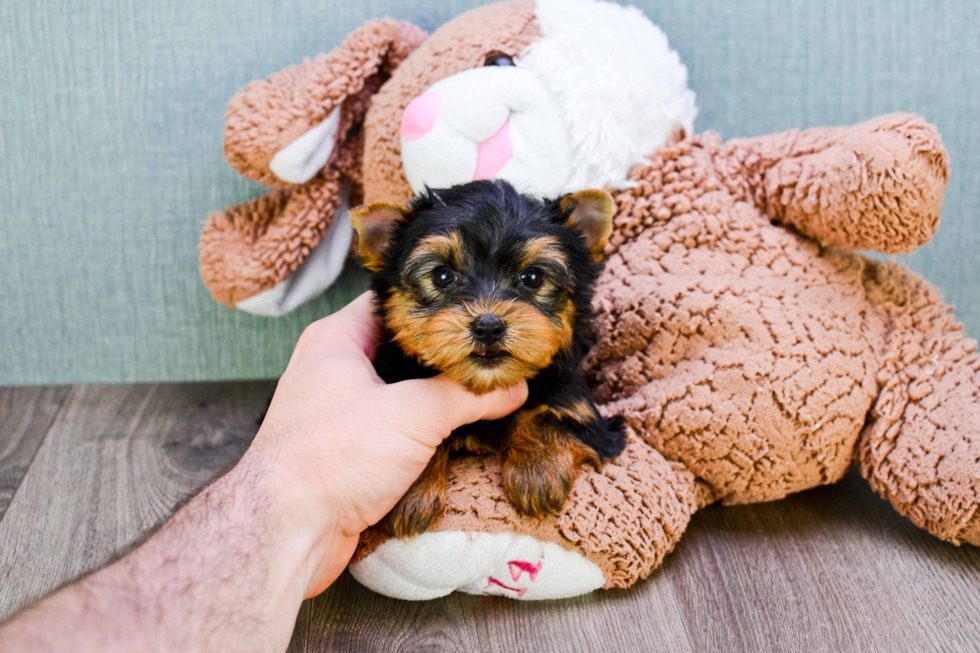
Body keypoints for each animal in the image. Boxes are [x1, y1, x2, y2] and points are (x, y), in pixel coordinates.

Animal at [352, 178, 628, 536]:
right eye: (442, 276)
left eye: (533, 277)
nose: (488, 326)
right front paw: (411, 493)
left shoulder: (583, 410)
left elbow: (552, 417)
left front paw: (537, 471)